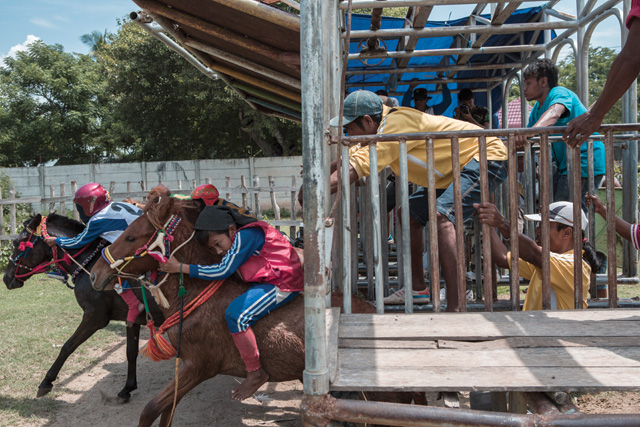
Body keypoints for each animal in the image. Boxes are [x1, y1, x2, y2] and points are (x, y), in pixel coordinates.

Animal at [3, 216, 162, 402]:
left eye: (17, 243)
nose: (6, 278)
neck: (89, 264)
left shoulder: (94, 318)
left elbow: (67, 346)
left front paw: (47, 381)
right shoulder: (132, 319)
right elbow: (131, 352)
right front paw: (127, 388)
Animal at [90, 197, 420, 427]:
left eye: (131, 236)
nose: (95, 273)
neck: (198, 295)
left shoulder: (198, 367)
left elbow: (149, 411)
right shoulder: (188, 368)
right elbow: (164, 411)